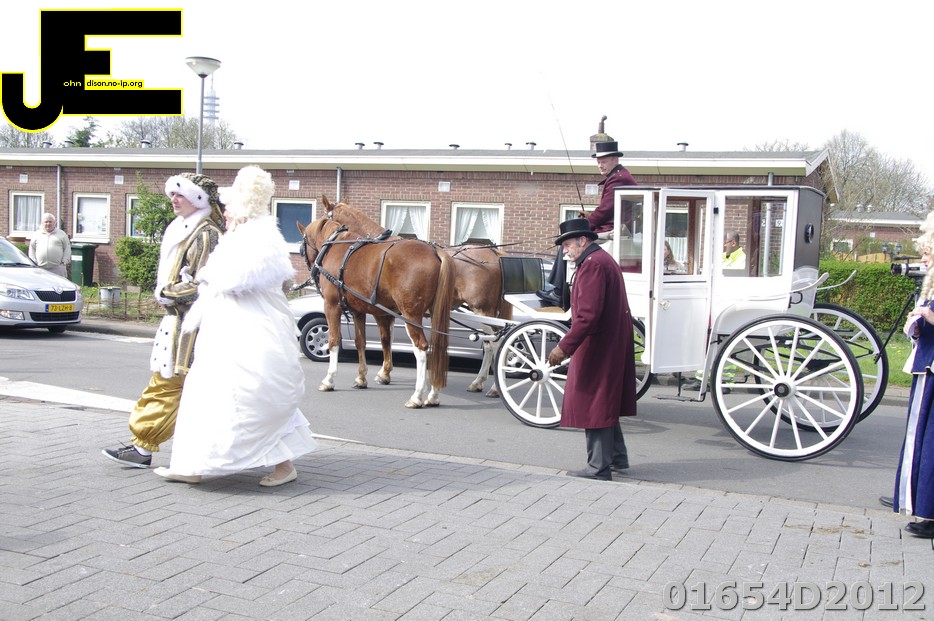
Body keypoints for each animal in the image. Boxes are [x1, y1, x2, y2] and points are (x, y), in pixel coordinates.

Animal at [298, 211, 457, 408]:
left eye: (302, 247)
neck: (335, 247)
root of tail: (434, 251)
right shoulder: (358, 311)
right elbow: (361, 342)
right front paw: (361, 378)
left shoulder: (332, 306)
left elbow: (333, 340)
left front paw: (329, 380)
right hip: (435, 314)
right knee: (437, 348)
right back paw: (433, 396)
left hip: (411, 315)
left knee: (421, 349)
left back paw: (417, 396)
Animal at [320, 197, 512, 397]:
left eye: (326, 215)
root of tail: (494, 253)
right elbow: (388, 340)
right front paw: (385, 373)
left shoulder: (383, 312)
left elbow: (385, 340)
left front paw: (384, 373)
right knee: (491, 344)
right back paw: (479, 383)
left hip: (483, 310)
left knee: (496, 344)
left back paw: (492, 386)